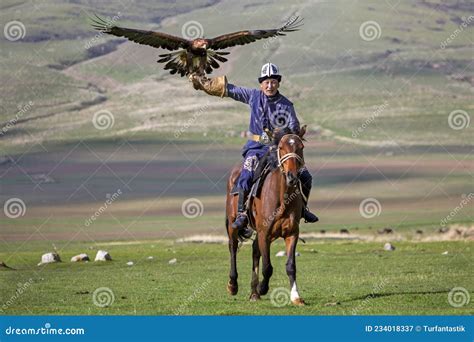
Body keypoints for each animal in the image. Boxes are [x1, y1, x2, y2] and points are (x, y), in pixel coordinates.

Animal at [226, 127, 308, 306]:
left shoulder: (292, 234)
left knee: (254, 250)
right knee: (233, 247)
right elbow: (267, 267)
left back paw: (253, 293)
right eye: (281, 148)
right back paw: (233, 285)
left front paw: (296, 297)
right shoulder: (265, 233)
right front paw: (263, 288)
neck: (282, 198)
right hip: (232, 224)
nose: (292, 177)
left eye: (301, 147)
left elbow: (291, 266)